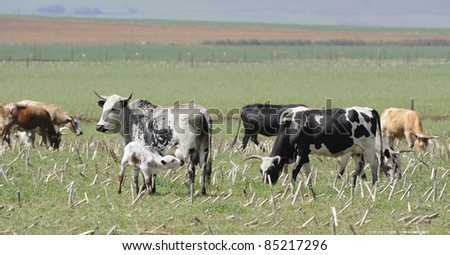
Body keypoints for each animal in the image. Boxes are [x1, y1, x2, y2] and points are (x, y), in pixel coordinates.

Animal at [246, 106, 390, 196]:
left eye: (271, 170)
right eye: (261, 170)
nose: (266, 183)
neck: (291, 126)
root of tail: (369, 109)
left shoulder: (301, 151)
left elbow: (295, 171)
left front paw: (291, 191)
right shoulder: (305, 154)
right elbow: (307, 172)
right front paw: (312, 193)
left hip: (368, 146)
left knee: (374, 163)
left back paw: (374, 187)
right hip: (357, 150)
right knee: (358, 167)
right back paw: (353, 189)